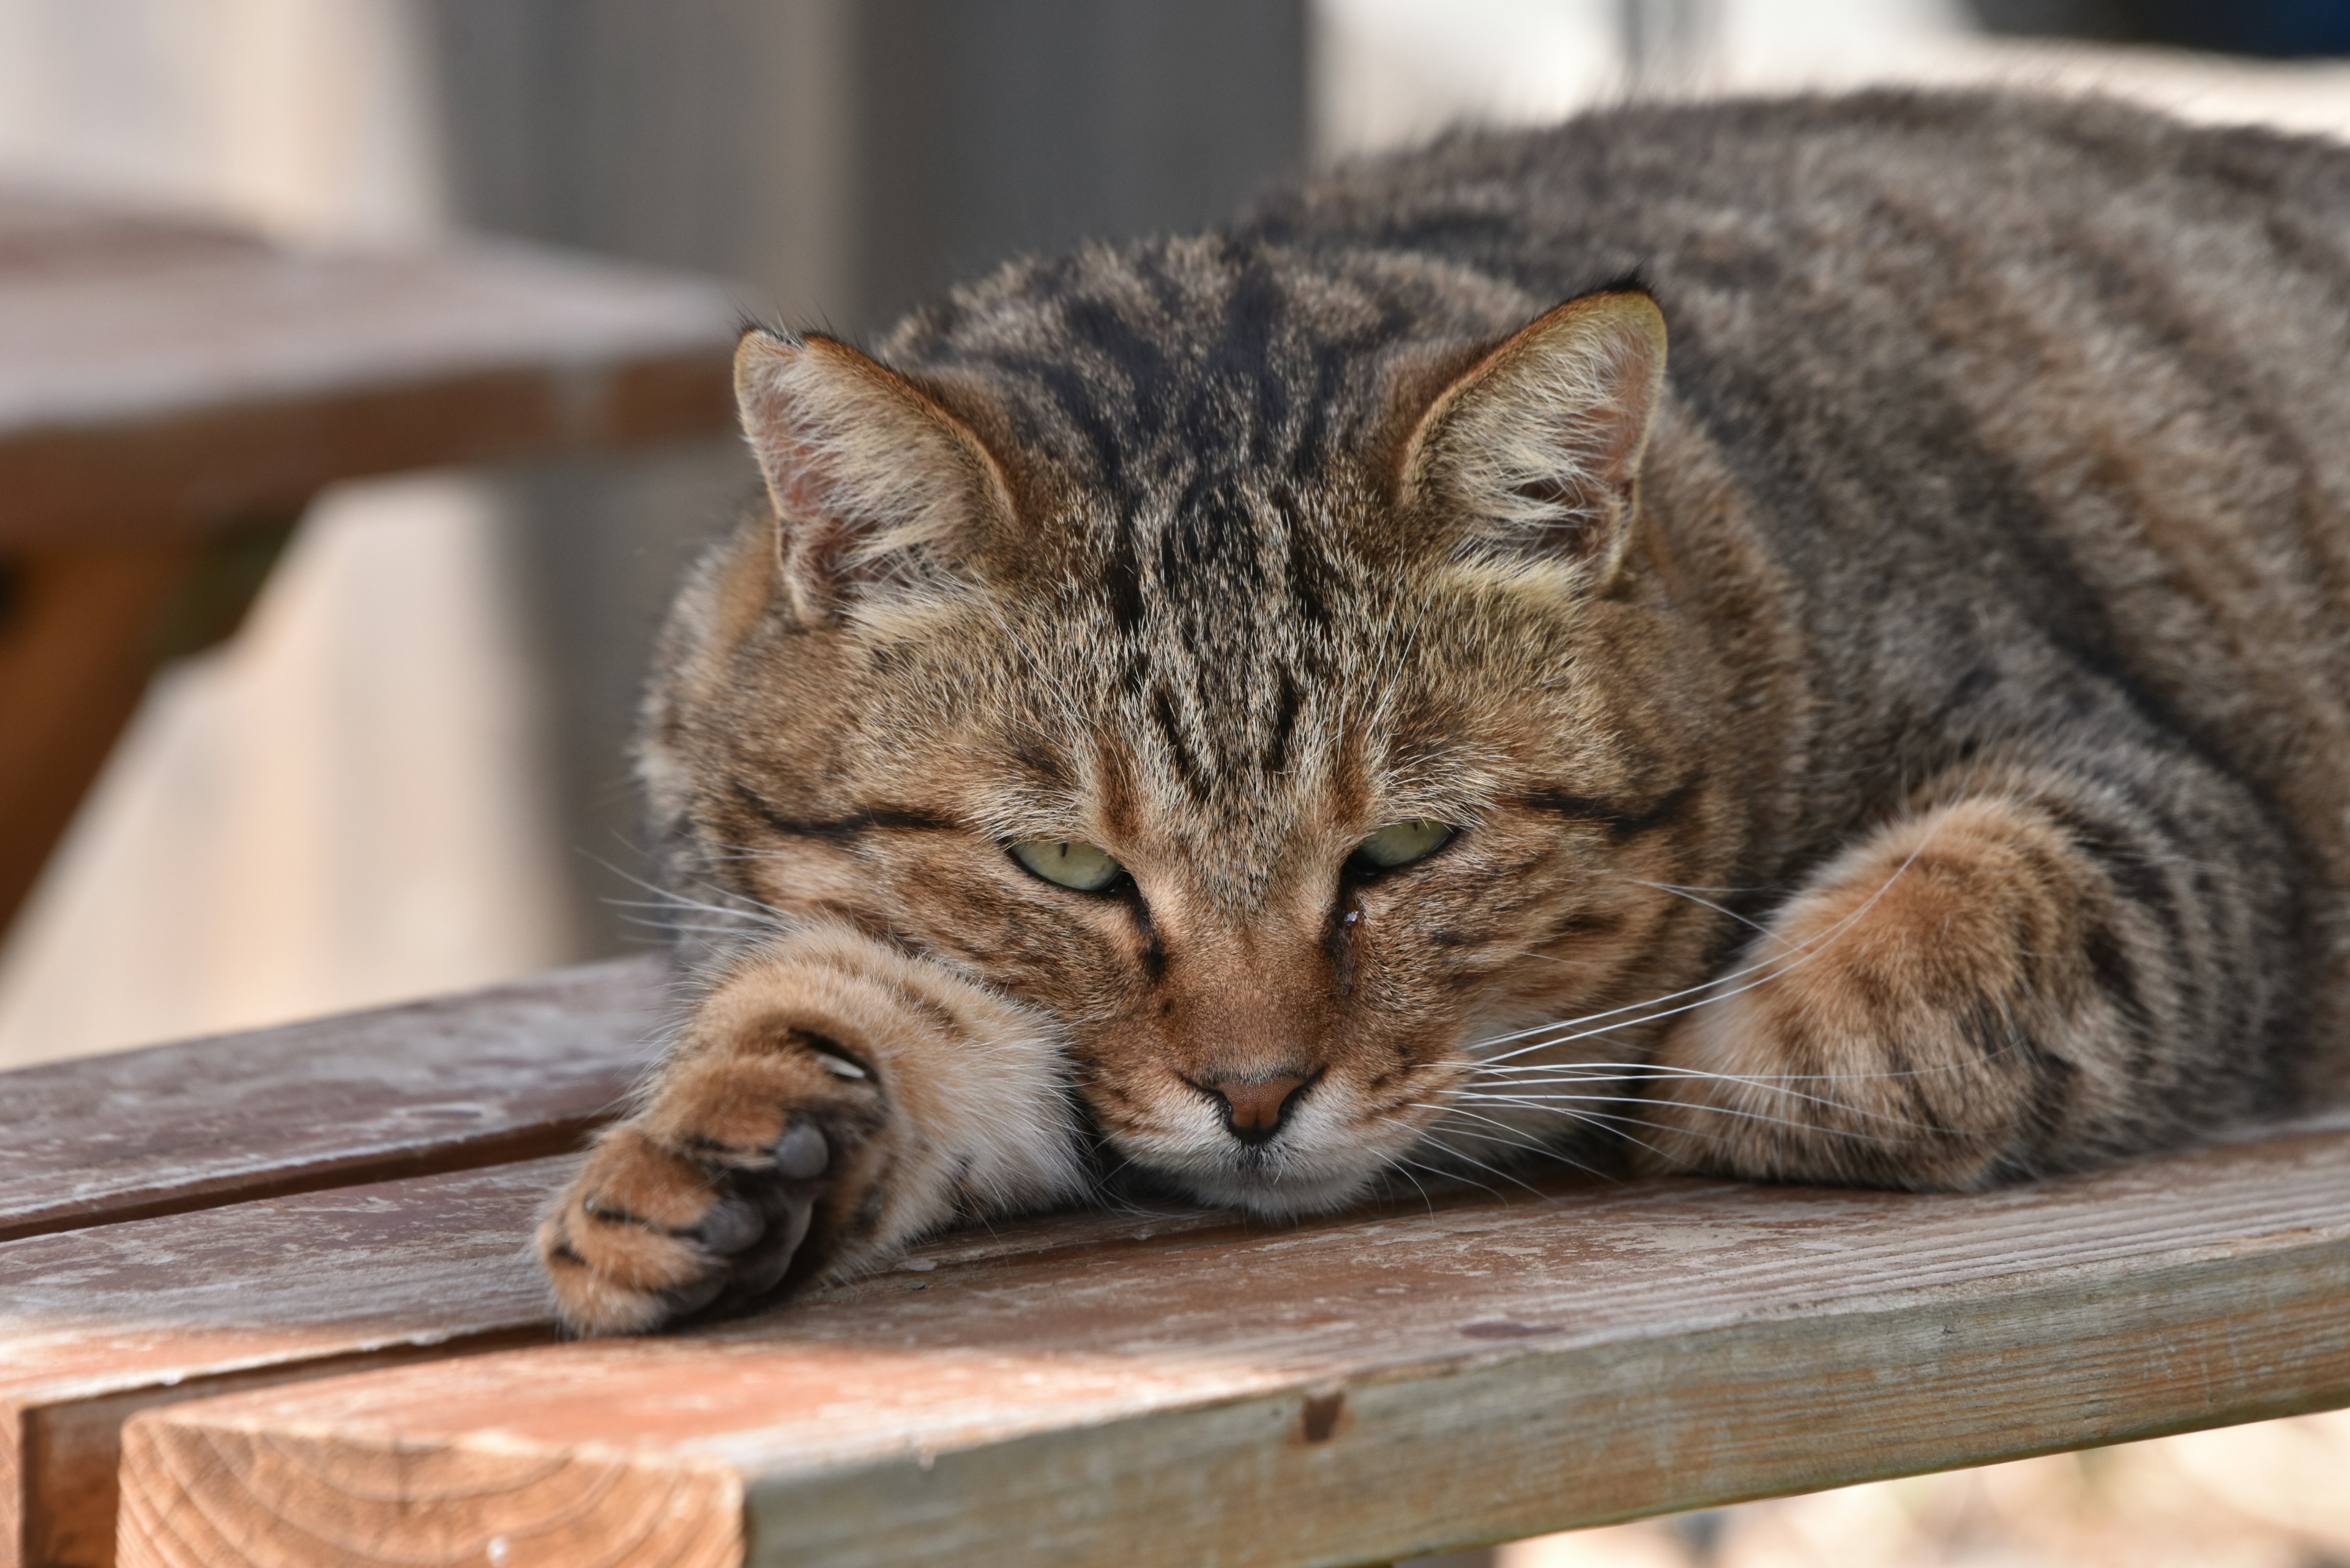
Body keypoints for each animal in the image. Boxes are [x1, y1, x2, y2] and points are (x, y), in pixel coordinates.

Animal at [538, 89, 2350, 1335]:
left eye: (1404, 850)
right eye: (1068, 869)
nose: (1255, 1097)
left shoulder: (2148, 798)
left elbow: (1927, 949)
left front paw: (1713, 1056)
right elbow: (839, 1002)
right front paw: (721, 1145)